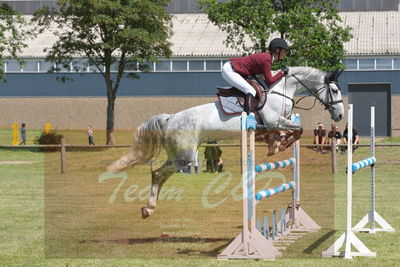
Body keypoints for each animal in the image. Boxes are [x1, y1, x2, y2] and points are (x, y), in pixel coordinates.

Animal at [108, 66, 346, 220]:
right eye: (334, 90)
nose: (340, 115)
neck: (282, 91)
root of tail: (170, 118)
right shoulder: (273, 121)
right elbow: (298, 129)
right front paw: (277, 146)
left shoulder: (276, 123)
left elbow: (292, 130)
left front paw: (275, 143)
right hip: (184, 156)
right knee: (158, 174)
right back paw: (148, 208)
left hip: (178, 155)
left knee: (160, 175)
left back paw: (149, 208)